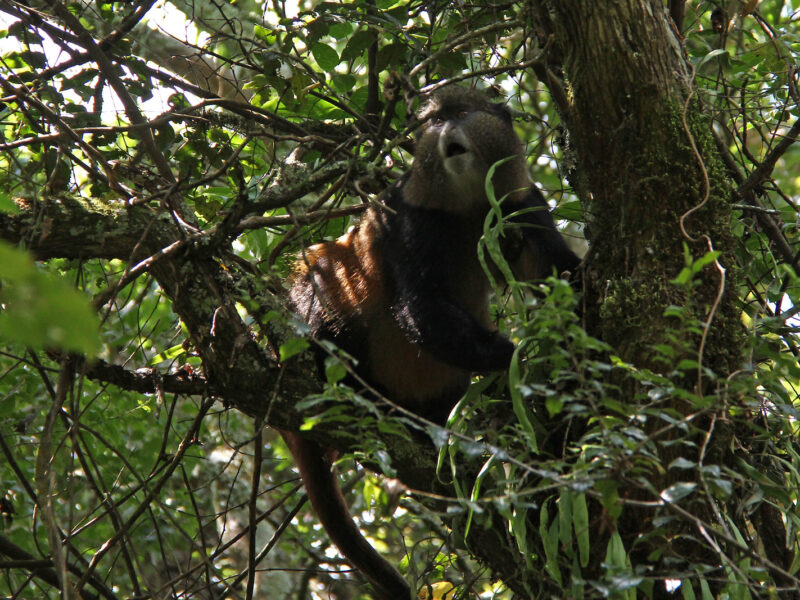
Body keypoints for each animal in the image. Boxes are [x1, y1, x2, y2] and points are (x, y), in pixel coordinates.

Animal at [283, 86, 580, 599]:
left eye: (463, 113)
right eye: (436, 120)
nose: (447, 130)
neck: (466, 204)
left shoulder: (522, 202)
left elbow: (550, 271)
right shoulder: (409, 219)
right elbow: (418, 307)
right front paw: (512, 358)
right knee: (323, 282)